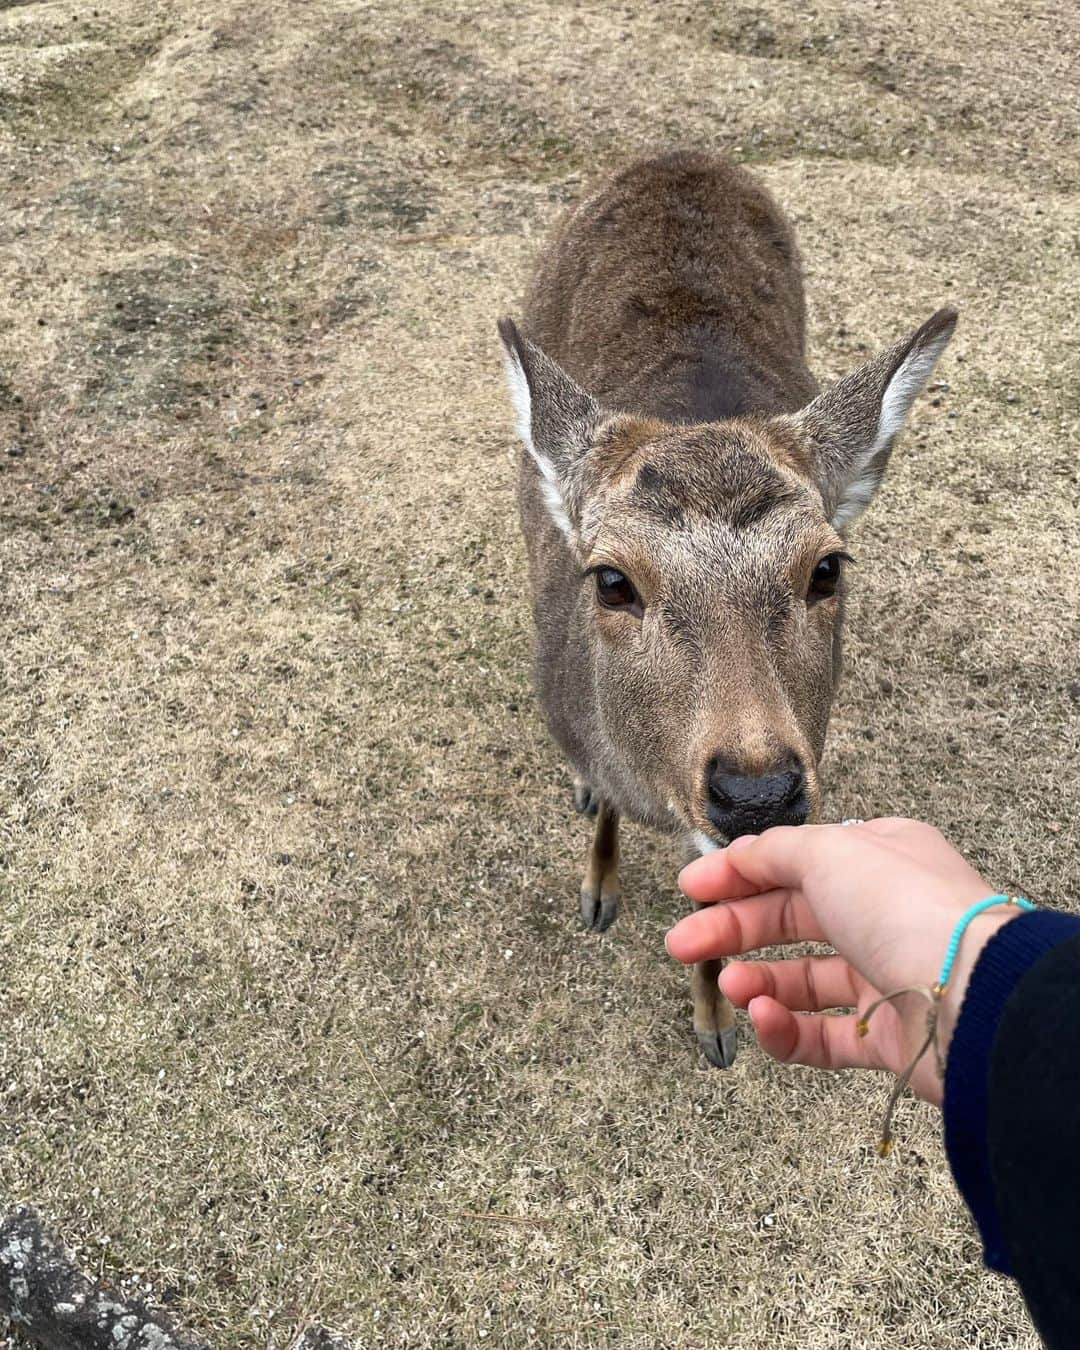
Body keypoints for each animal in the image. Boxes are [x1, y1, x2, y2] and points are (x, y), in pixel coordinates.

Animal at [496, 153, 955, 1069]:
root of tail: (679, 155)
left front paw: (715, 1025)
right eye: (610, 581)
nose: (757, 795)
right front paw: (598, 893)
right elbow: (604, 816)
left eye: (826, 568)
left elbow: (711, 918)